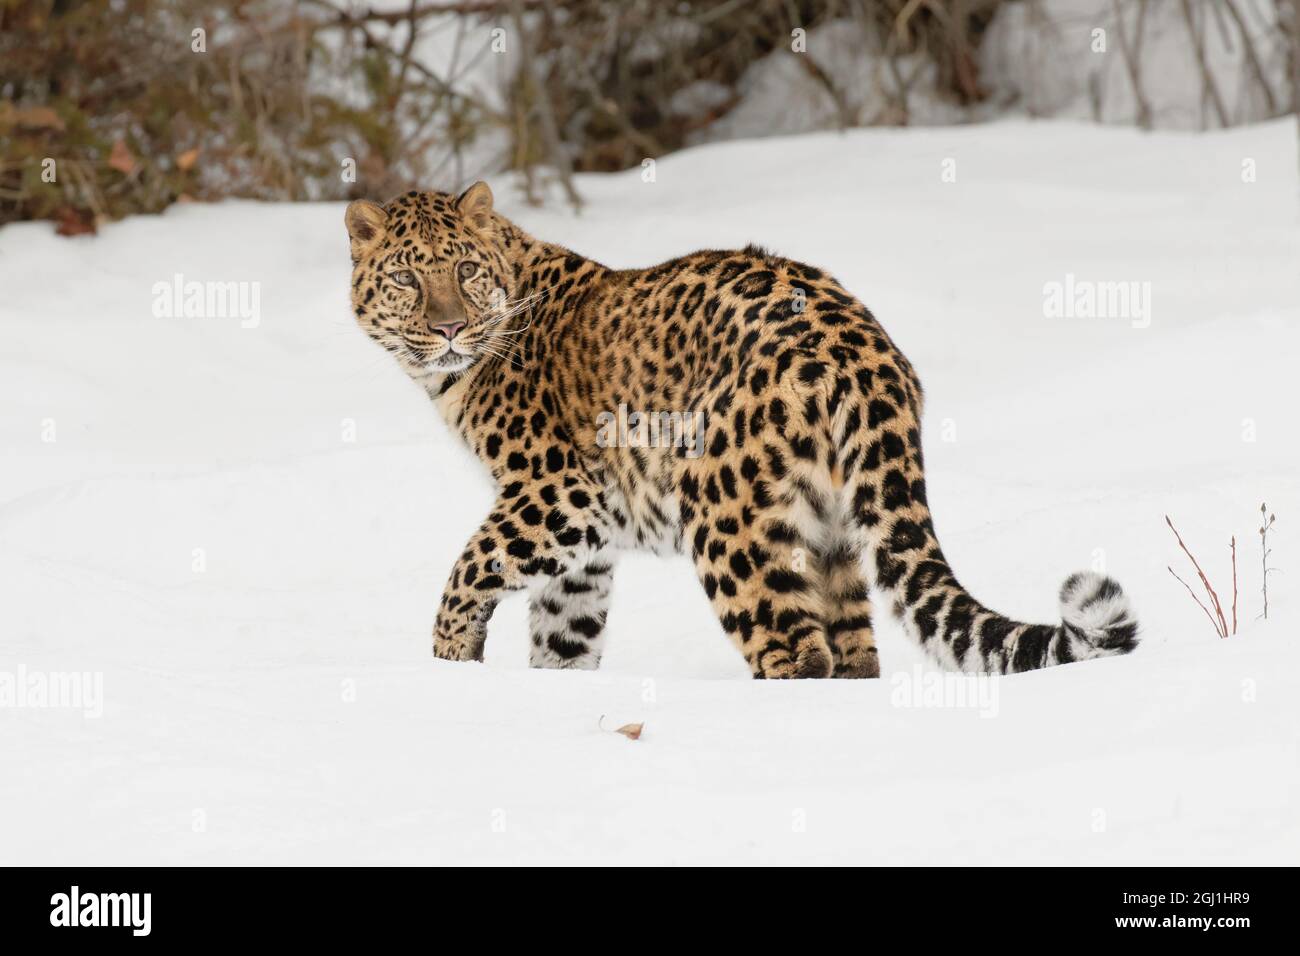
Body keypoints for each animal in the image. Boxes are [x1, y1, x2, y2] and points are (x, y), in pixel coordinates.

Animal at [344, 182, 1138, 678]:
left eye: (465, 270)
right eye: (407, 280)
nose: (449, 328)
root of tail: (864, 349)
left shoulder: (562, 493)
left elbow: (468, 567)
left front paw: (451, 657)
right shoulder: (586, 544)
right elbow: (564, 636)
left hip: (723, 514)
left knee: (797, 652)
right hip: (831, 531)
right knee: (854, 654)